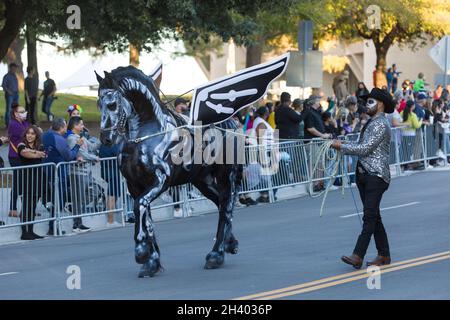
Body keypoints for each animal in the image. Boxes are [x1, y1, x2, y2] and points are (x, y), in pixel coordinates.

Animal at [96, 67, 243, 278]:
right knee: (221, 203)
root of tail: (232, 124)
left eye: (112, 104)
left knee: (227, 205)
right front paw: (151, 263)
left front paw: (141, 252)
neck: (147, 134)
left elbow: (139, 207)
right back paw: (230, 244)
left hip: (226, 175)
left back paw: (216, 255)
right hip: (202, 180)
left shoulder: (159, 181)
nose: (106, 138)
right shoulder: (135, 186)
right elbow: (145, 216)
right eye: (98, 104)